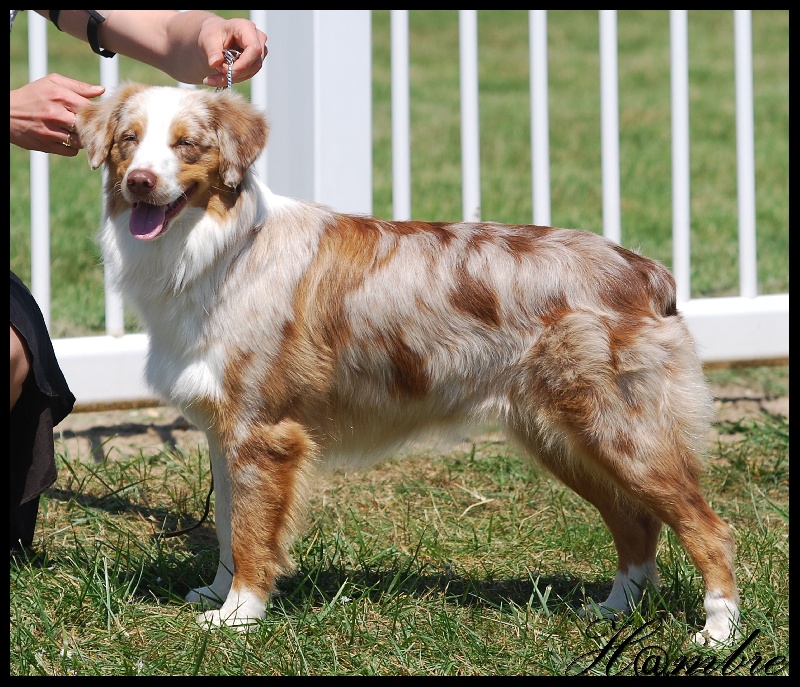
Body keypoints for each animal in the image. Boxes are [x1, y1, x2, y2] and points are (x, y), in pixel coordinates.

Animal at [78, 84, 740, 644]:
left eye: (186, 144)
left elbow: (251, 531)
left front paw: (239, 617)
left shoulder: (264, 432)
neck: (218, 250)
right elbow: (225, 525)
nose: (139, 183)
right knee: (636, 523)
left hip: (621, 432)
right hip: (563, 437)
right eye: (128, 140)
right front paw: (217, 594)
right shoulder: (225, 431)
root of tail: (644, 268)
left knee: (708, 527)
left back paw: (718, 631)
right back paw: (614, 609)